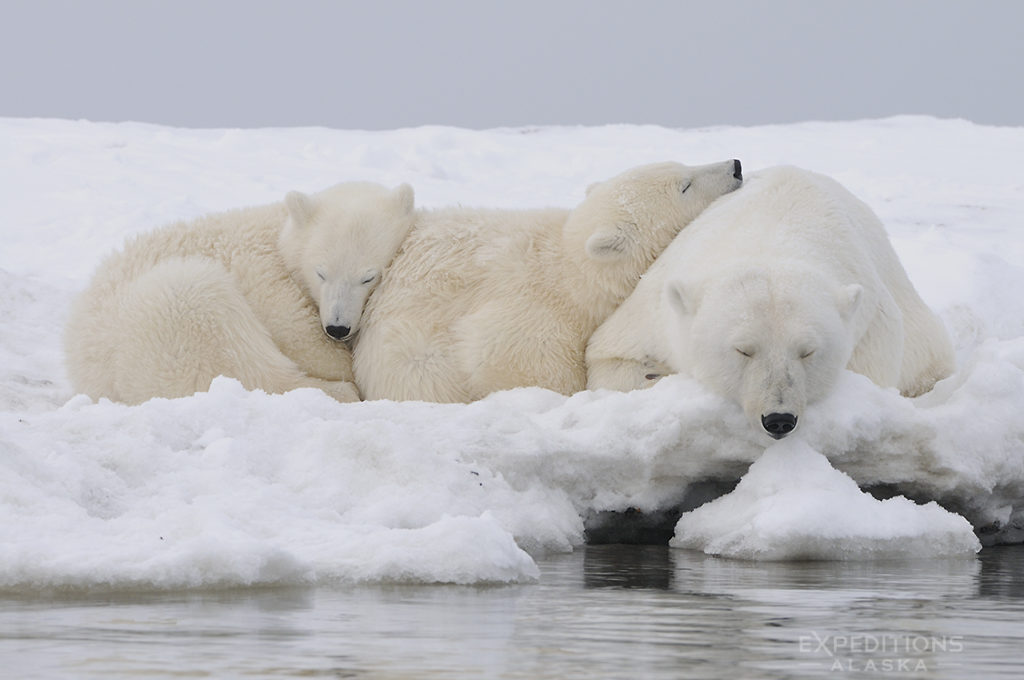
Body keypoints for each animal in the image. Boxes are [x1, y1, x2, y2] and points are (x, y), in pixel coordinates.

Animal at [65, 182, 411, 403]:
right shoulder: (260, 271)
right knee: (237, 362)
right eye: (321, 272)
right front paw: (340, 364)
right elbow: (295, 329)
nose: (337, 328)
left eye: (368, 277)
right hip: (163, 317)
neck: (279, 235)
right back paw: (339, 391)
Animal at [356, 157, 741, 403]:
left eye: (682, 166)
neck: (572, 270)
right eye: (685, 186)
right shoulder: (535, 313)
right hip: (409, 358)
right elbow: (509, 362)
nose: (735, 165)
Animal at [589, 165, 954, 440]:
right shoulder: (656, 308)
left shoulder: (871, 327)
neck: (772, 237)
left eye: (807, 351)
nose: (779, 418)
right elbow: (608, 357)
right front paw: (655, 371)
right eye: (743, 350)